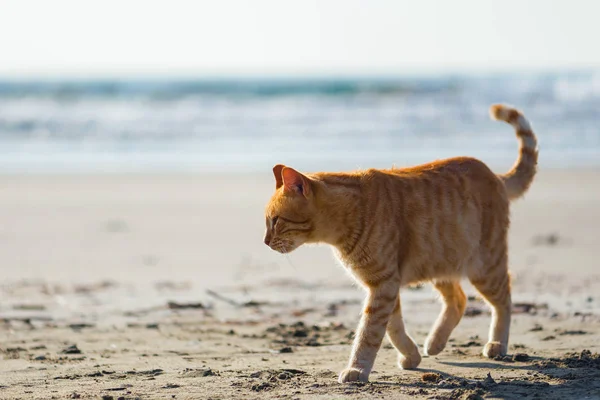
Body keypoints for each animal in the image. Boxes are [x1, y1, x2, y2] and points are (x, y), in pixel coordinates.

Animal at [262, 104, 540, 382]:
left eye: (275, 220)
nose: (265, 242)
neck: (349, 216)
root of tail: (494, 175)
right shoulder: (383, 284)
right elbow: (393, 328)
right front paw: (411, 356)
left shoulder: (383, 284)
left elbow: (369, 333)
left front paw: (357, 369)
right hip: (440, 264)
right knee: (459, 300)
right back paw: (435, 342)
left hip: (484, 268)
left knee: (504, 299)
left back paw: (498, 344)